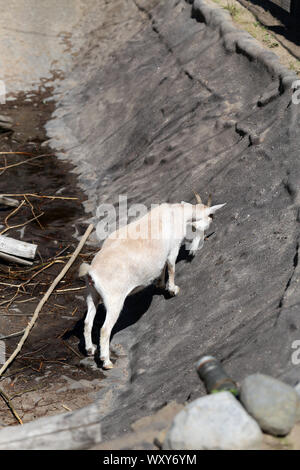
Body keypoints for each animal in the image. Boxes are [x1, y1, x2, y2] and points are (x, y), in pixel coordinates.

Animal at [79, 193, 225, 370]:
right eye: (210, 218)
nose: (195, 250)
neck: (176, 213)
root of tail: (92, 273)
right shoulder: (173, 248)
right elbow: (171, 266)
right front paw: (173, 290)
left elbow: (162, 268)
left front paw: (160, 284)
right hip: (114, 301)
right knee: (105, 330)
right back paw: (106, 362)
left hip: (92, 294)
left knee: (87, 322)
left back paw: (90, 349)